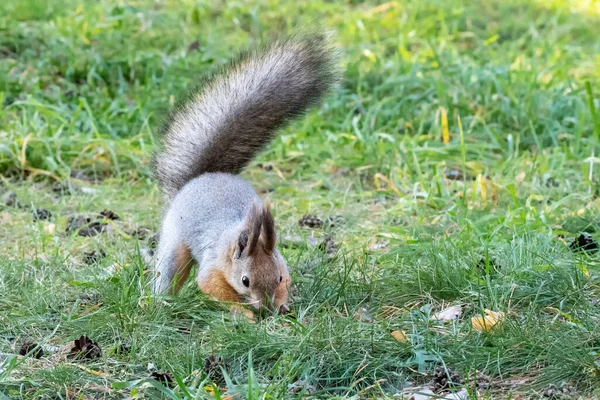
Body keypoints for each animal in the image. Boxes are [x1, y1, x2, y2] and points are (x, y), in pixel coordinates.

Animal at [149, 32, 338, 314]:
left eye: (279, 277)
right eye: (245, 280)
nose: (267, 307)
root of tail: (203, 177)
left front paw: (282, 304)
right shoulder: (214, 266)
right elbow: (214, 287)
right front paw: (243, 313)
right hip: (174, 241)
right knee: (170, 270)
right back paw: (160, 300)